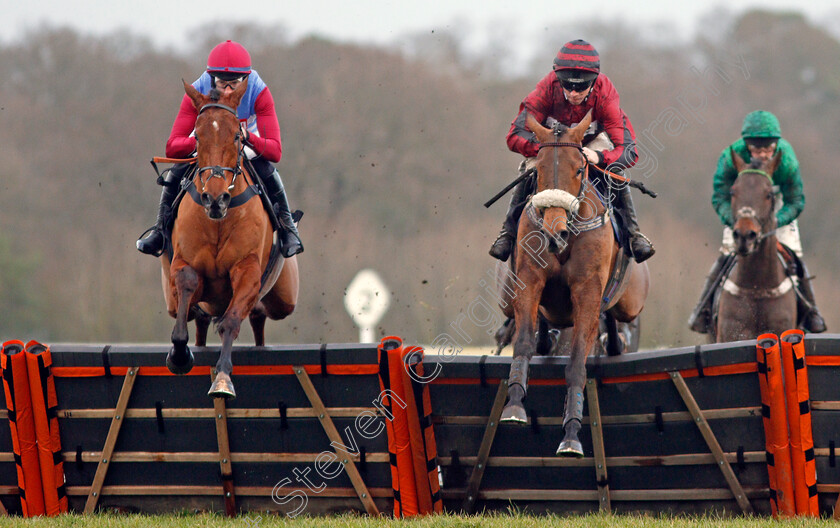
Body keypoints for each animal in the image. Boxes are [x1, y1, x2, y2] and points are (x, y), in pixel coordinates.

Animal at [159, 80, 300, 398]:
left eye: (237, 135)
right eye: (197, 136)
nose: (215, 199)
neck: (218, 221)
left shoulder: (247, 271)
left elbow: (232, 320)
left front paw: (222, 378)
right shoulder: (183, 264)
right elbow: (187, 284)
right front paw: (179, 355)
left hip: (284, 298)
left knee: (259, 317)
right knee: (196, 320)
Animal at [498, 112, 648, 458]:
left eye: (579, 169)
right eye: (538, 170)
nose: (554, 234)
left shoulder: (588, 294)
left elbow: (578, 361)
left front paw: (571, 434)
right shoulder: (529, 281)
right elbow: (523, 342)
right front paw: (514, 405)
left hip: (630, 304)